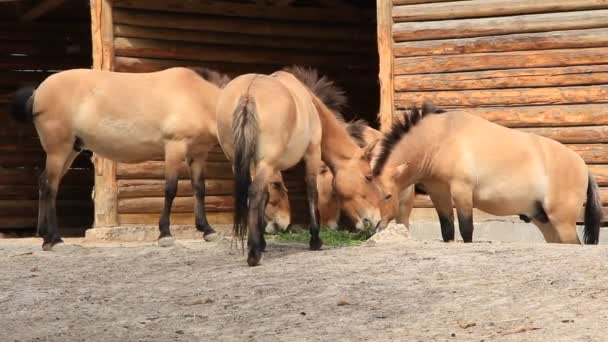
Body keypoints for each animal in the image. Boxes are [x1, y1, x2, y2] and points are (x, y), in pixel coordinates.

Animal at [9, 67, 290, 250]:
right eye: (276, 185)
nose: (285, 225)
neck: (197, 97)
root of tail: (38, 91)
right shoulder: (174, 148)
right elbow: (170, 190)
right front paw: (165, 234)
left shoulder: (197, 154)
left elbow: (199, 190)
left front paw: (207, 230)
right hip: (59, 149)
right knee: (49, 186)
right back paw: (54, 240)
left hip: (69, 150)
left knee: (45, 184)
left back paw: (45, 235)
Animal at [372, 100, 600, 244]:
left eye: (388, 195)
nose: (374, 225)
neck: (441, 138)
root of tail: (584, 167)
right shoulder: (438, 193)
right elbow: (447, 231)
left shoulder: (462, 191)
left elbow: (466, 230)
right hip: (544, 221)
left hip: (562, 221)